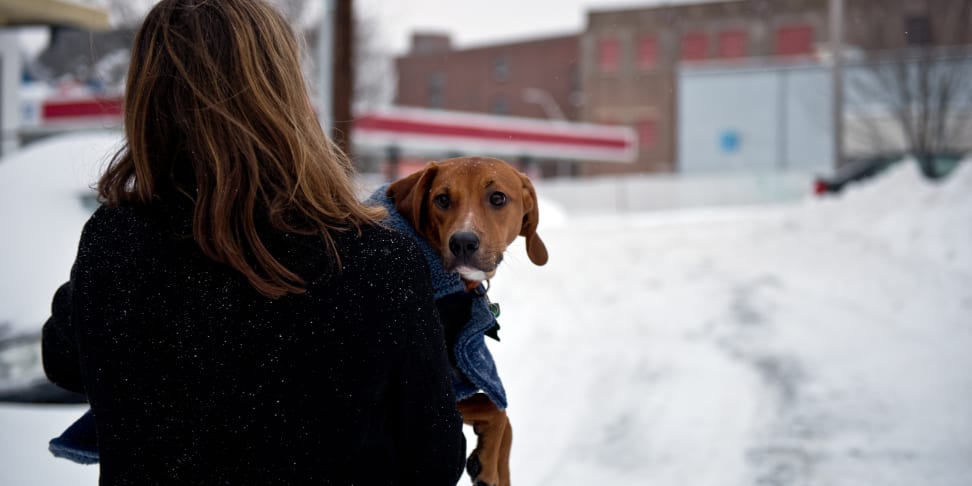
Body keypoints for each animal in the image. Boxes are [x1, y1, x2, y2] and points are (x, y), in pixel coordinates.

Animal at [386, 158, 548, 484]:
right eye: (442, 199)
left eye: (497, 198)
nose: (462, 242)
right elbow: (497, 410)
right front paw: (485, 463)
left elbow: (505, 424)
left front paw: (490, 462)